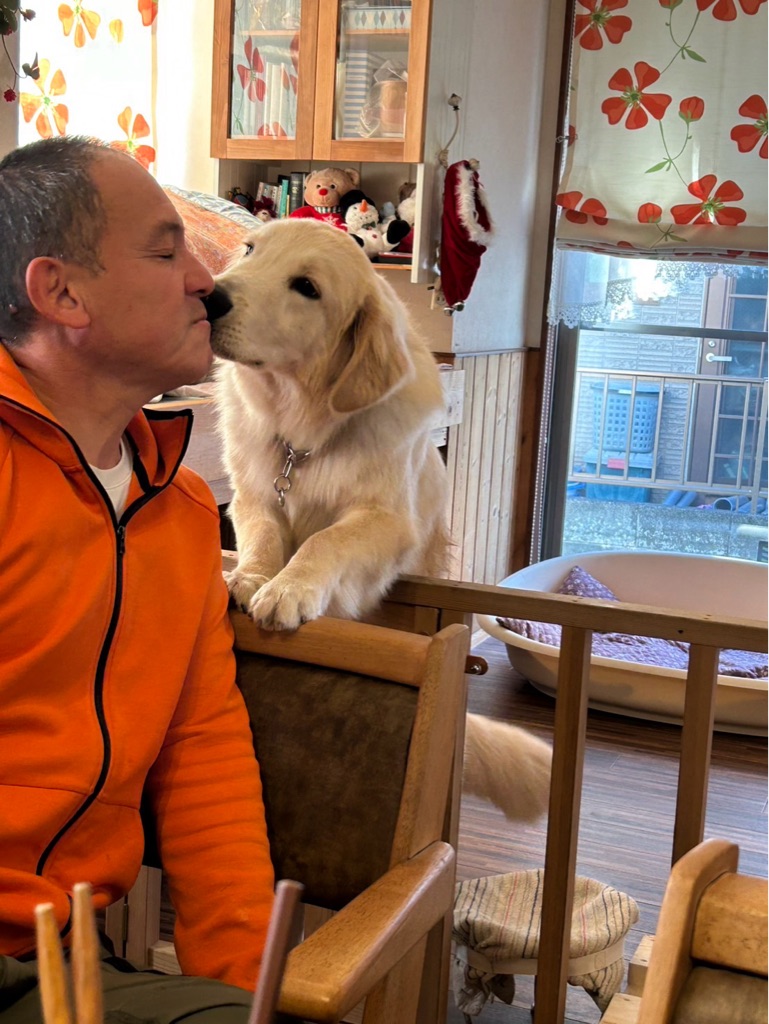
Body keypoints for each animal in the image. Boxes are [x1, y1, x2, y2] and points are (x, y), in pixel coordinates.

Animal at [209, 218, 551, 822]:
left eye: (307, 287)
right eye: (249, 250)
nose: (209, 296)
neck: (304, 437)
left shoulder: (388, 521)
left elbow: (325, 539)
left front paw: (290, 589)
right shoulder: (251, 495)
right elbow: (265, 532)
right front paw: (250, 577)